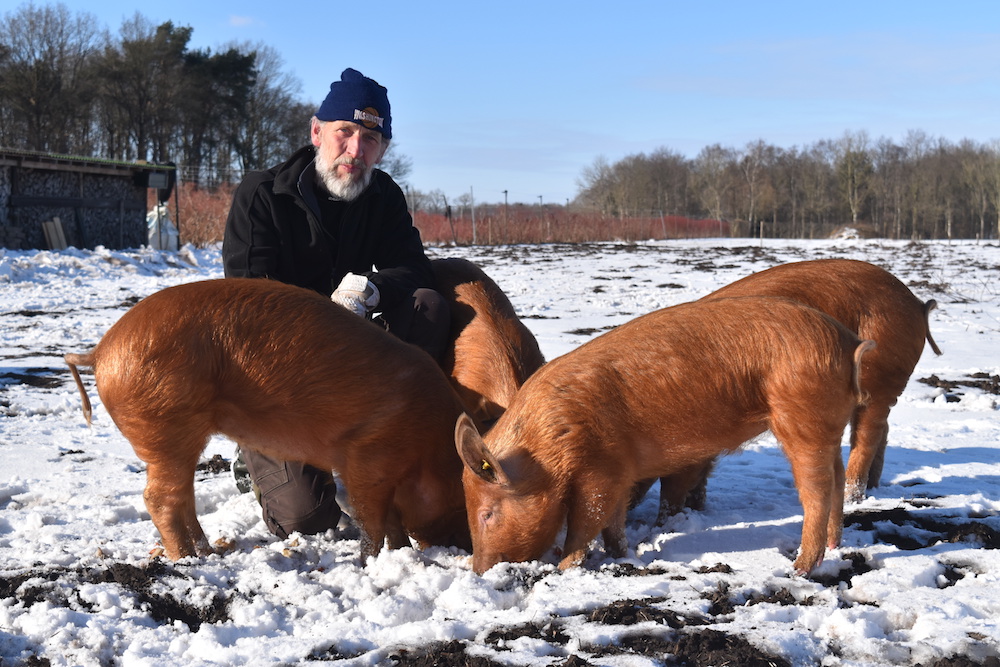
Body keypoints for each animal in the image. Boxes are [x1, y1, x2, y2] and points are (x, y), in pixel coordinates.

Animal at [66, 280, 472, 560]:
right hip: (165, 426)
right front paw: (371, 561)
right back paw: (187, 561)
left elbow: (391, 520)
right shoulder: (368, 458)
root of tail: (99, 352)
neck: (425, 450)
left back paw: (209, 552)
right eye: (459, 502)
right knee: (159, 498)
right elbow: (373, 520)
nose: (464, 547)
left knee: (182, 497)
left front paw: (400, 551)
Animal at [456, 296, 876, 576]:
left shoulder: (599, 470)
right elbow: (613, 521)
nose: (479, 571)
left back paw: (801, 567)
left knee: (816, 489)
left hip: (801, 417)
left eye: (487, 514)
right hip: (827, 422)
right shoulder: (620, 473)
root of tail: (849, 345)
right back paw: (835, 546)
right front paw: (620, 556)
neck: (547, 447)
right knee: (837, 477)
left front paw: (564, 567)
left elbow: (586, 521)